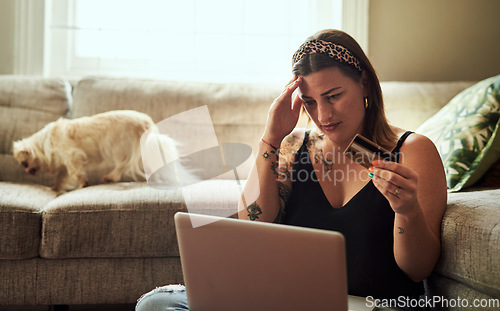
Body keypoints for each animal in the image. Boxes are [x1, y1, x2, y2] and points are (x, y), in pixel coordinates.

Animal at [12, 109, 163, 193]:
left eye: (25, 164)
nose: (26, 171)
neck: (44, 144)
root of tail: (146, 121)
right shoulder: (63, 165)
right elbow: (61, 177)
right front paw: (54, 188)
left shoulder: (71, 155)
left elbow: (75, 172)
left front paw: (83, 182)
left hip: (116, 147)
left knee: (123, 164)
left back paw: (110, 177)